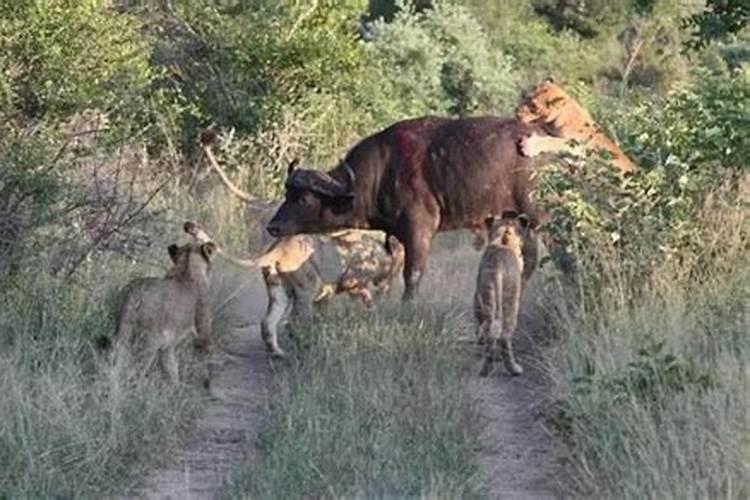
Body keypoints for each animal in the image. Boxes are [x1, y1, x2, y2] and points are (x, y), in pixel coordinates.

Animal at [266, 115, 548, 298]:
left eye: (303, 199)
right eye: (287, 193)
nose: (273, 227)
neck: (382, 171)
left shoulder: (419, 231)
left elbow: (412, 275)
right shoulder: (397, 238)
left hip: (536, 216)